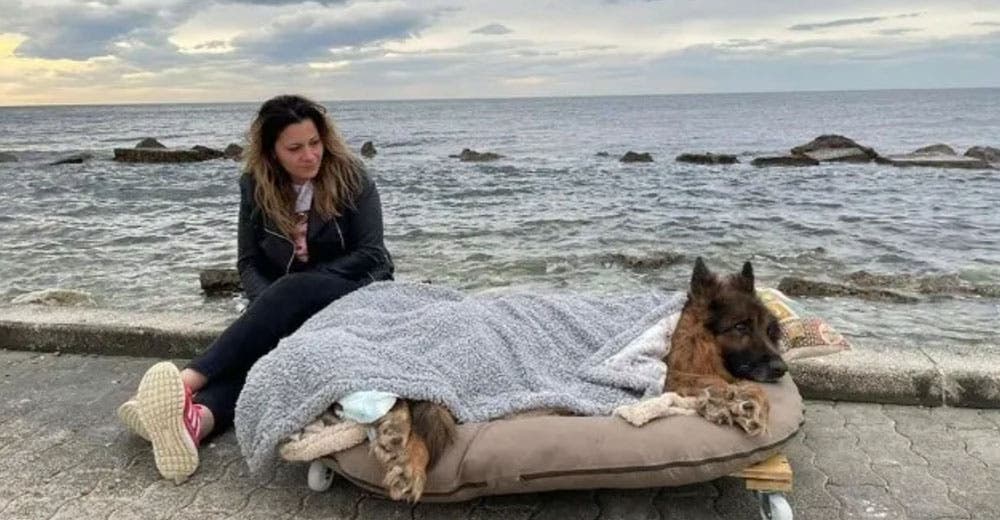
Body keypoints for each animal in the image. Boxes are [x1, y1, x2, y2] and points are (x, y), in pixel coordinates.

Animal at [370, 258, 788, 502]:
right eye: (740, 327)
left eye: (770, 330)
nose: (782, 368)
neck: (686, 333)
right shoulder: (662, 373)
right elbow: (739, 386)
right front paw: (746, 404)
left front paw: (725, 405)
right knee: (418, 402)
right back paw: (405, 456)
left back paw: (396, 441)